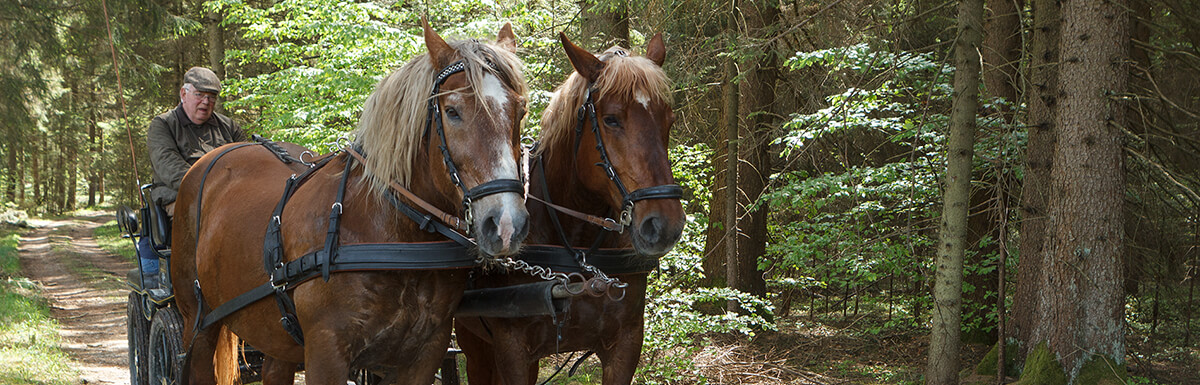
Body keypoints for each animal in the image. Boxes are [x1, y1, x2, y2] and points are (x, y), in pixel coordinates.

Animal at [169, 21, 530, 383]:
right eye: (453, 112)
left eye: (520, 111)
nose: (506, 224)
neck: (395, 238)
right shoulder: (326, 353)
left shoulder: (427, 352)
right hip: (197, 324)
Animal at [453, 32, 686, 383]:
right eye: (611, 119)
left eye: (668, 120)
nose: (665, 225)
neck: (579, 250)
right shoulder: (514, 351)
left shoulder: (625, 344)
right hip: (475, 344)